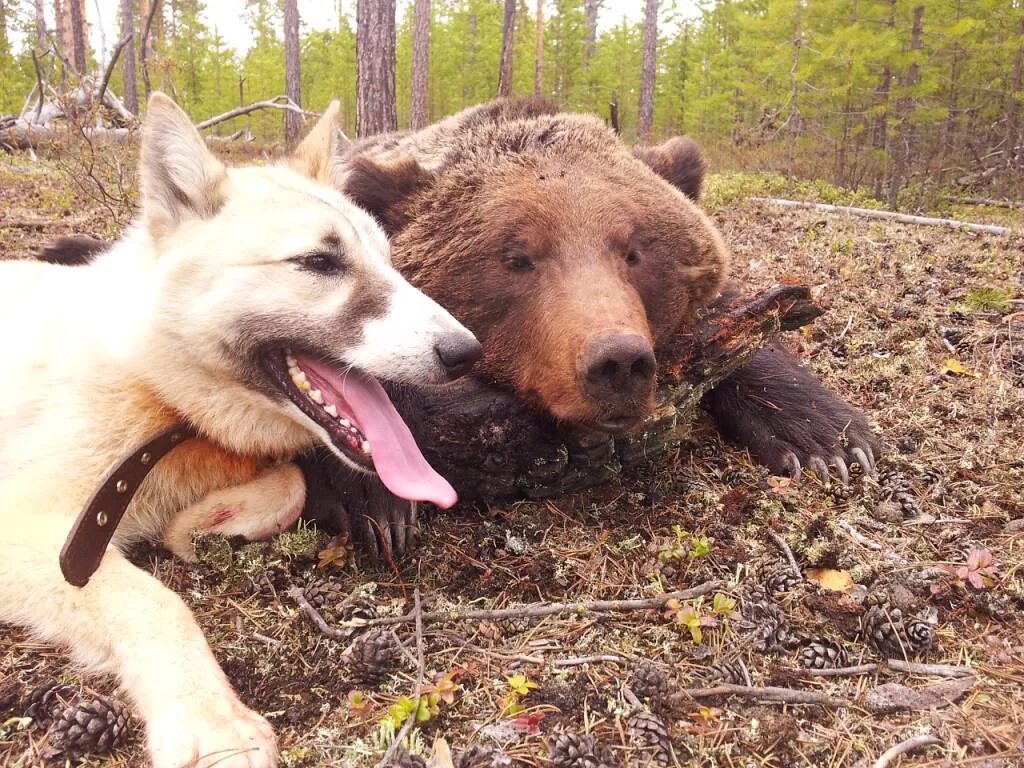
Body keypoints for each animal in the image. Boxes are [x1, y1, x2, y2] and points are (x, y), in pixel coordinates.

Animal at [0, 96, 479, 768]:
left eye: (389, 261)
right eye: (319, 262)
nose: (467, 352)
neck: (166, 403)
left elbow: (290, 485)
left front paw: (201, 524)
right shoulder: (35, 530)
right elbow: (155, 602)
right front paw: (211, 722)